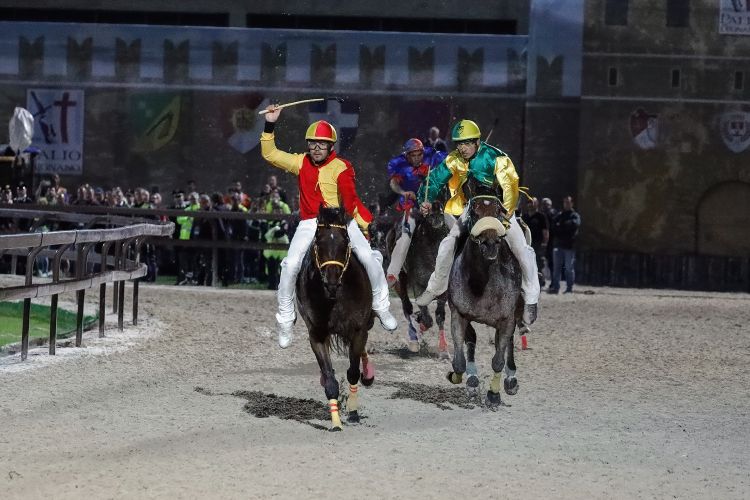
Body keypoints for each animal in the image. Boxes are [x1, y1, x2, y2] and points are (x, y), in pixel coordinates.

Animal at [296, 206, 374, 430]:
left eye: (345, 240)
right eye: (318, 240)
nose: (331, 282)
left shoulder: (358, 330)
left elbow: (353, 372)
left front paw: (353, 412)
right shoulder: (317, 335)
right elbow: (330, 379)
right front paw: (336, 421)